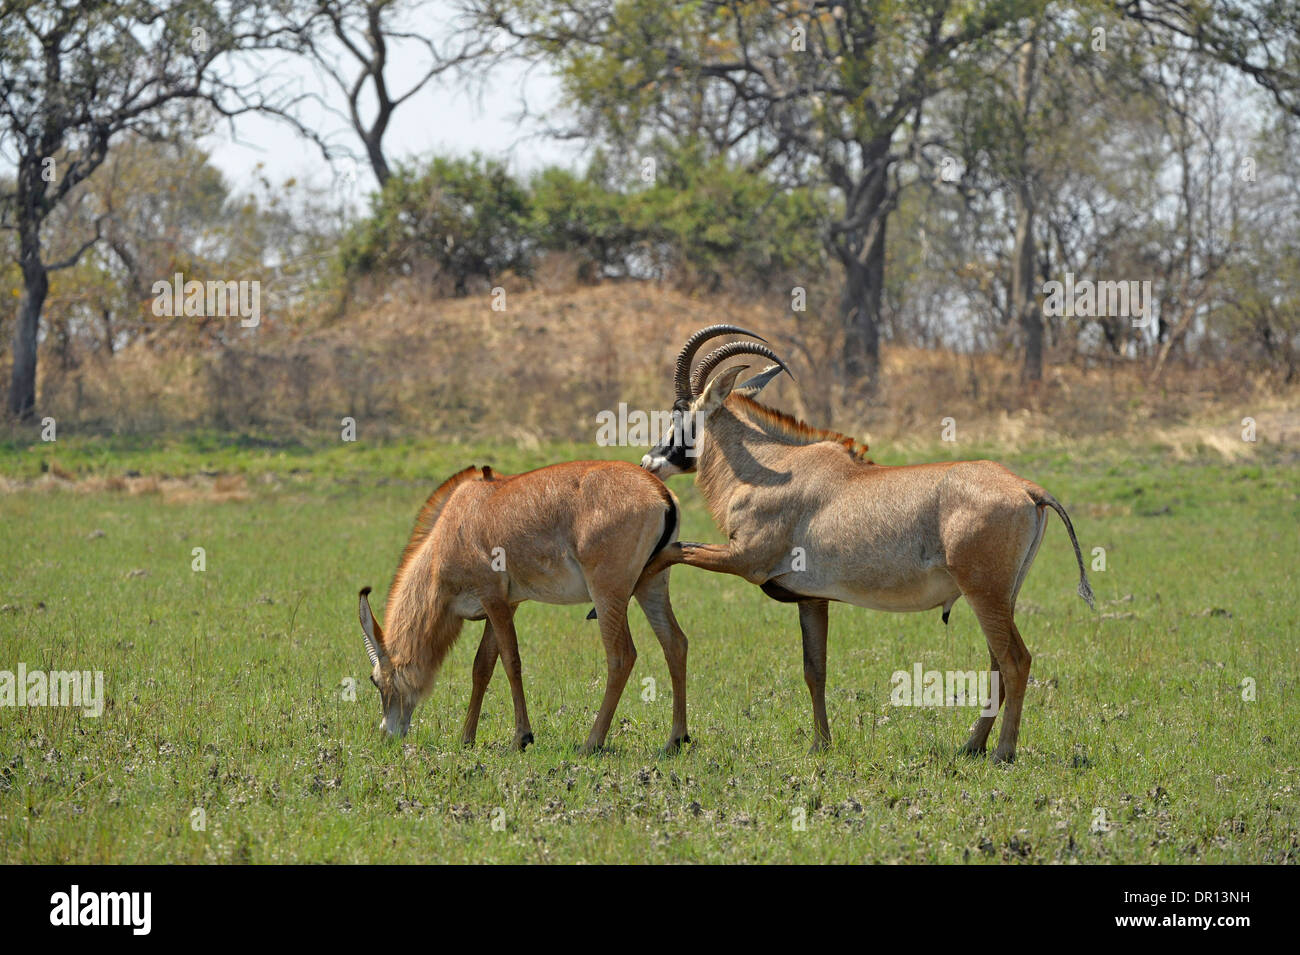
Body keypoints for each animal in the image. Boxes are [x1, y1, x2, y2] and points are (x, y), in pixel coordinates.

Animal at [357, 460, 690, 754]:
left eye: (375, 680)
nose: (387, 734)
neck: (453, 525)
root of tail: (659, 491)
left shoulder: (493, 598)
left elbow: (510, 661)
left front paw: (522, 737)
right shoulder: (507, 603)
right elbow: (482, 666)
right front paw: (467, 738)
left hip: (608, 592)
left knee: (621, 655)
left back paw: (591, 742)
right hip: (651, 585)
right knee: (675, 643)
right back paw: (675, 739)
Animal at [641, 326, 1094, 763]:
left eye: (680, 413)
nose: (649, 461)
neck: (773, 468)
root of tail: (1028, 489)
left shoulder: (745, 559)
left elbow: (675, 550)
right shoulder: (811, 598)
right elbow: (815, 670)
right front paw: (821, 744)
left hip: (985, 594)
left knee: (1015, 661)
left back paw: (1003, 751)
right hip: (999, 598)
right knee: (998, 662)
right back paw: (972, 746)